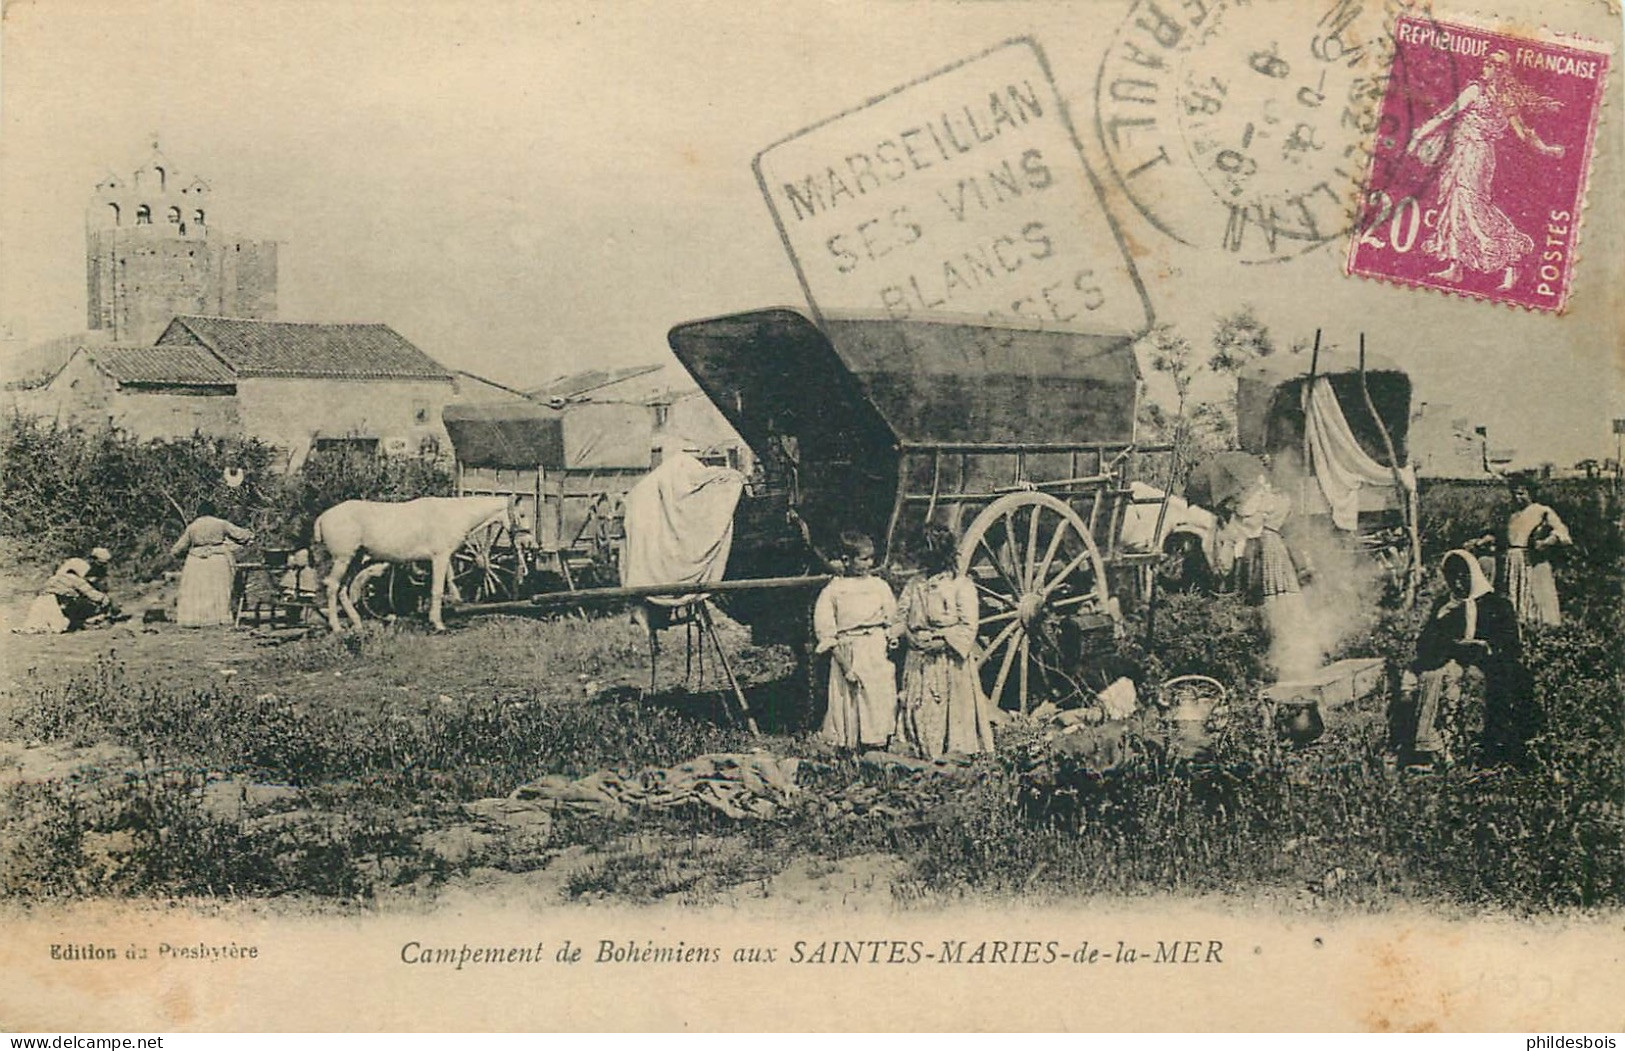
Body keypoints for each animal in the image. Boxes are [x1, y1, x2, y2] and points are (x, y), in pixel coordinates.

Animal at [310, 497, 513, 633]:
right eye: (519, 511)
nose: (521, 539)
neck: (452, 514)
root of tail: (323, 516)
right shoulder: (439, 557)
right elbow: (437, 589)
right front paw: (438, 624)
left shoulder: (442, 558)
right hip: (342, 559)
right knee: (333, 586)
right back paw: (336, 627)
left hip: (355, 559)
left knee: (343, 588)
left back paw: (357, 623)